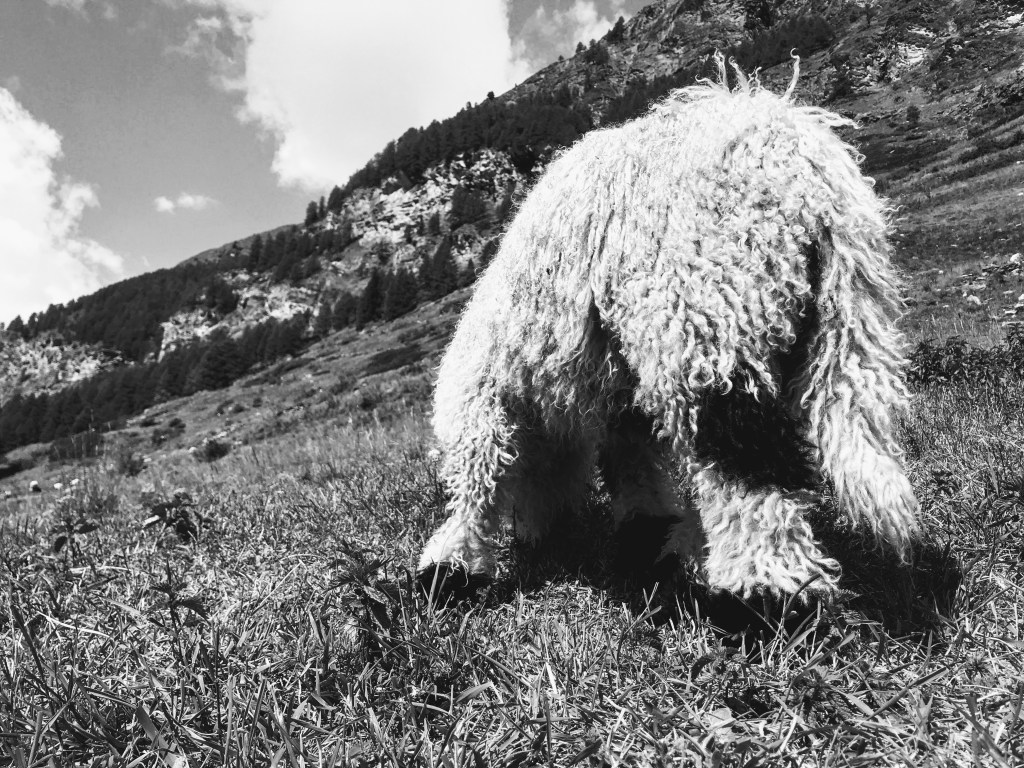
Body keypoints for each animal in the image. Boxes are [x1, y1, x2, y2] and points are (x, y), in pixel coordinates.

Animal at [418, 57, 920, 601]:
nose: (537, 535)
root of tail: (797, 159)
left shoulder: (488, 392)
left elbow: (477, 482)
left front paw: (449, 567)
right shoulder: (618, 390)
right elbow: (631, 464)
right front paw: (645, 534)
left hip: (710, 314)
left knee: (744, 463)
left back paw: (763, 589)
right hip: (845, 321)